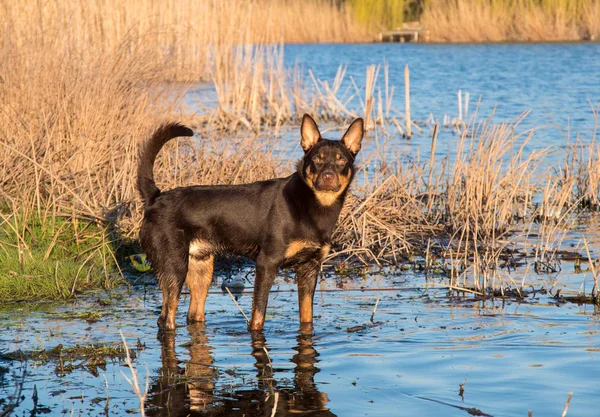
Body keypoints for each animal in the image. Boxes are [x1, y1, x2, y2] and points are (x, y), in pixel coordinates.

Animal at [138, 114, 364, 332]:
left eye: (341, 161)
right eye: (317, 159)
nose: (328, 176)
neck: (311, 204)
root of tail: (155, 199)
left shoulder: (310, 267)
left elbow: (306, 318)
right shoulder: (266, 263)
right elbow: (258, 316)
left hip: (202, 268)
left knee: (194, 315)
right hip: (174, 267)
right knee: (166, 319)